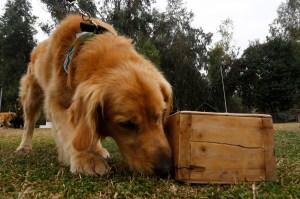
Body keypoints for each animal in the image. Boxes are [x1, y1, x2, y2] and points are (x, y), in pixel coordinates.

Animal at [16, 14, 173, 176]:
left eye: (160, 116)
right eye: (126, 124)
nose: (166, 168)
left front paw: (94, 150)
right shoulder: (56, 102)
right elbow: (70, 131)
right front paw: (86, 158)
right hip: (31, 96)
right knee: (28, 124)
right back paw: (24, 146)